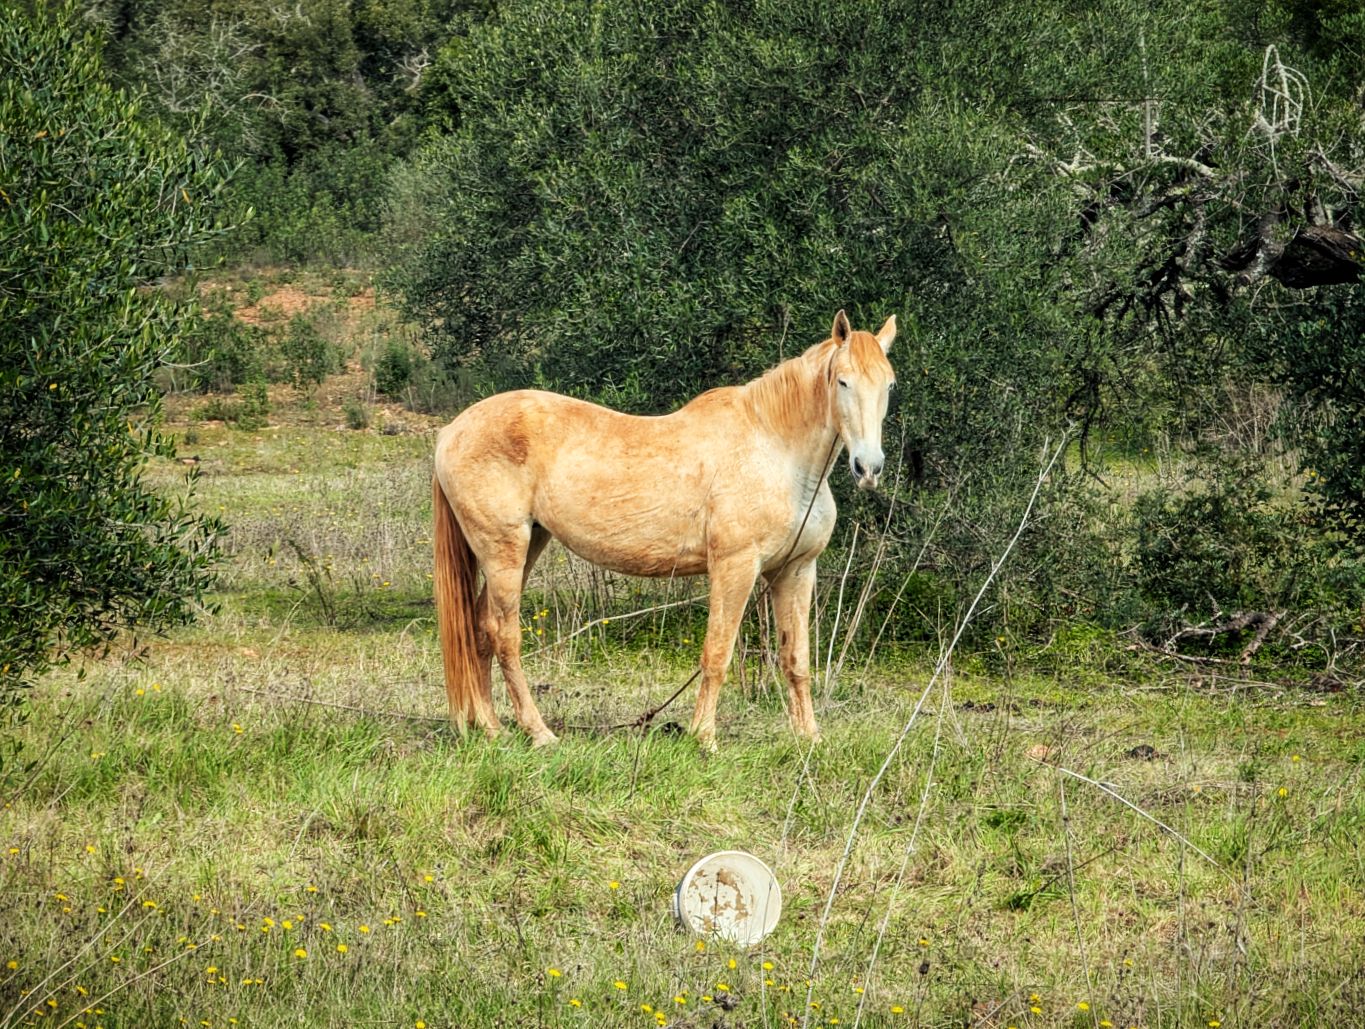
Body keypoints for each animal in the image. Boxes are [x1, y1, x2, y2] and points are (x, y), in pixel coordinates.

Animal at [428, 304, 895, 747]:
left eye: (889, 385)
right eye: (843, 382)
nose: (868, 468)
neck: (776, 451)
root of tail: (452, 430)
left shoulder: (795, 572)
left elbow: (796, 659)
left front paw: (809, 737)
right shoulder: (735, 567)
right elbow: (717, 654)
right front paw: (703, 737)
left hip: (527, 545)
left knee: (478, 629)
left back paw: (492, 728)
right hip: (503, 550)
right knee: (502, 634)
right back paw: (536, 732)